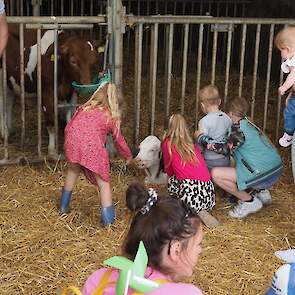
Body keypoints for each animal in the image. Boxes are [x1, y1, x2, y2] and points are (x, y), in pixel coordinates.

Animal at [4, 24, 104, 157]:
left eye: (94, 61)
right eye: (73, 61)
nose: (86, 85)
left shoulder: (71, 93)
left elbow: (69, 119)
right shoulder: (46, 93)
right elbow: (51, 123)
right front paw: (52, 150)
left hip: (11, 81)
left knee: (9, 102)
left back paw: (9, 129)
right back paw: (4, 132)